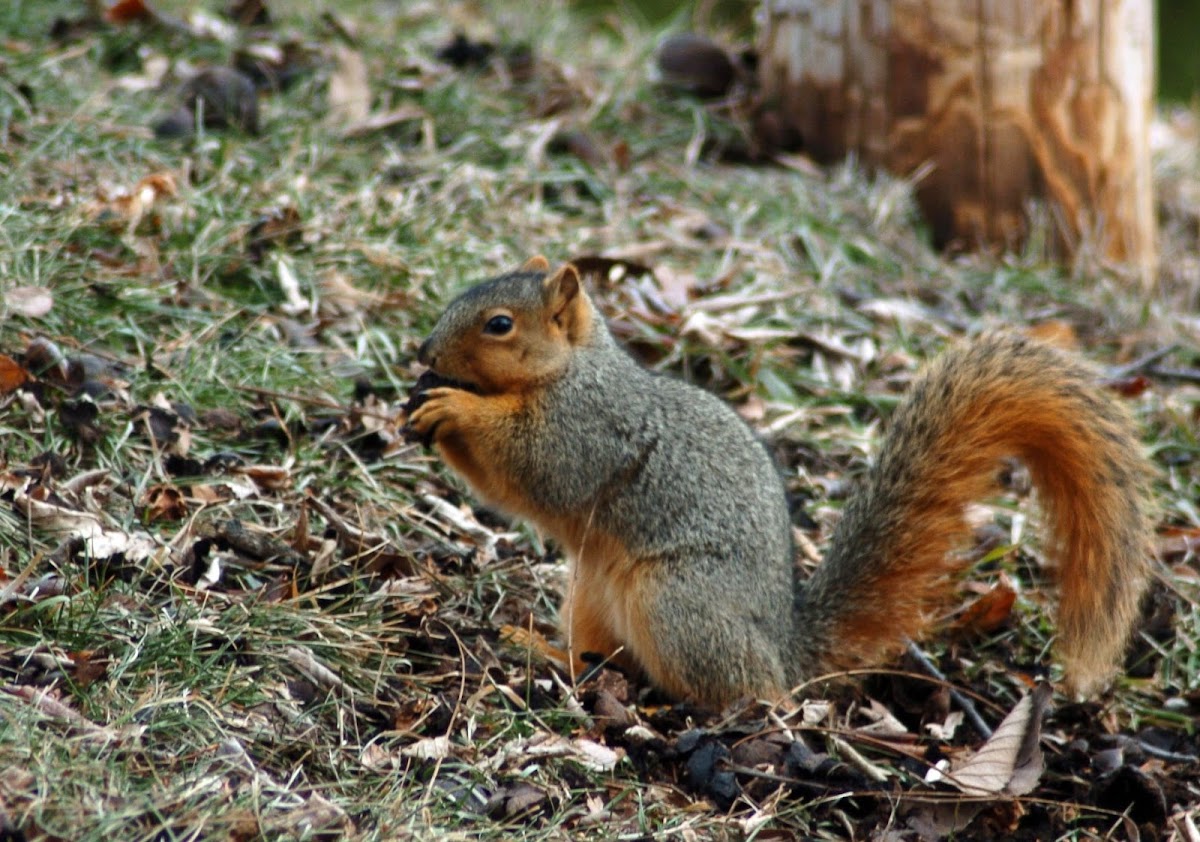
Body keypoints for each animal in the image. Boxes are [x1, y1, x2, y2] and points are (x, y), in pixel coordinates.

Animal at [408, 260, 1156, 710]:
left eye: (499, 324)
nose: (423, 354)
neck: (570, 369)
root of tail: (786, 649)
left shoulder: (587, 428)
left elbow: (537, 467)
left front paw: (456, 409)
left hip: (677, 600)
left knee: (747, 689)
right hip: (592, 589)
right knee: (600, 654)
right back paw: (541, 647)